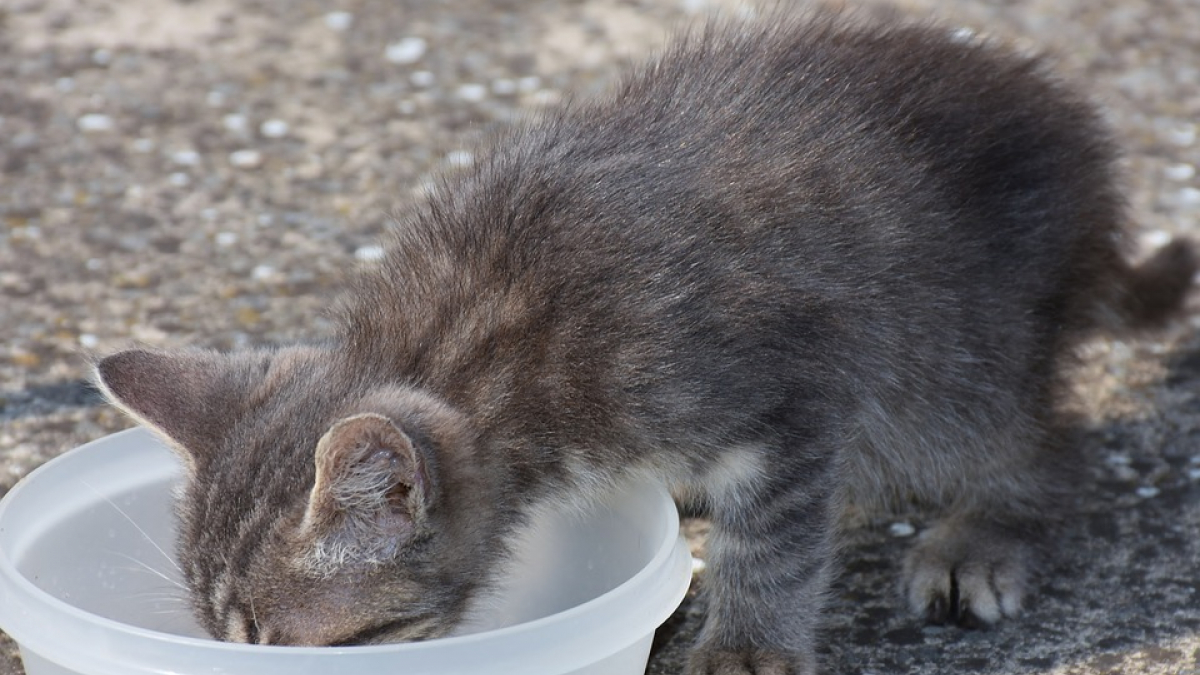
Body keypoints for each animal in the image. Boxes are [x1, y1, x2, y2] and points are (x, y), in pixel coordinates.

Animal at [98, 6, 1195, 672]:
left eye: (277, 640)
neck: (486, 341)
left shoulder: (790, 391)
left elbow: (775, 542)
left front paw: (745, 643)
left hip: (951, 360)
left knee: (1044, 443)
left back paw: (984, 532)